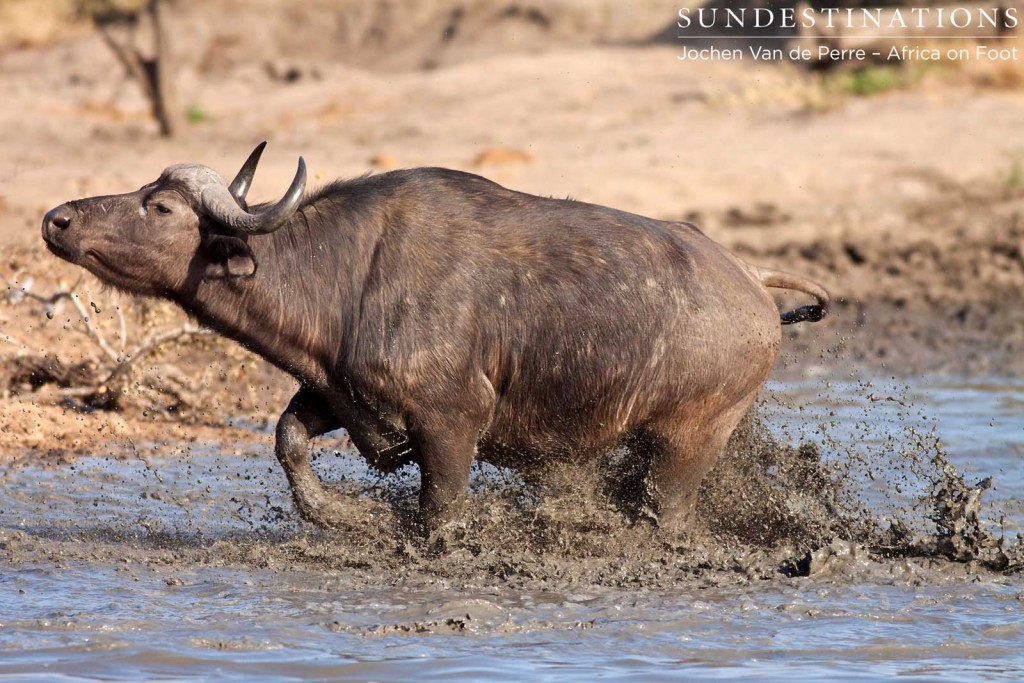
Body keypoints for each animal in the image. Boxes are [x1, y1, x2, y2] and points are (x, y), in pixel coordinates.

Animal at [44, 144, 827, 536]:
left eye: (160, 205)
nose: (56, 219)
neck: (349, 273)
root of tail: (750, 279)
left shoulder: (452, 422)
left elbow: (438, 512)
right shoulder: (341, 392)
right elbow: (287, 440)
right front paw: (346, 514)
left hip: (688, 440)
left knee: (667, 516)